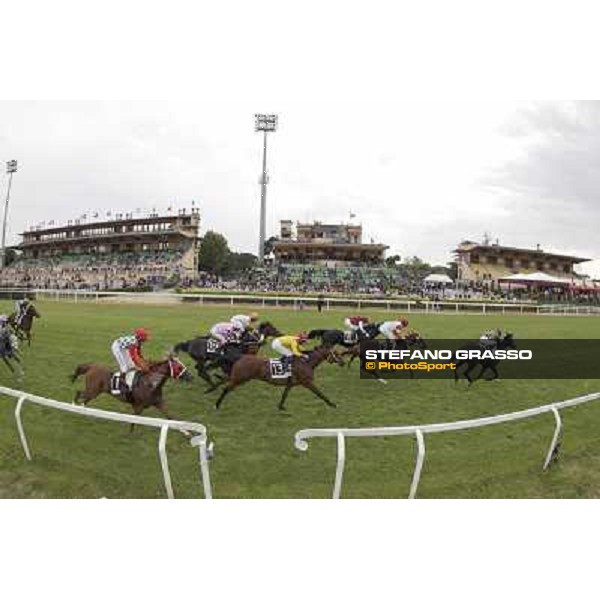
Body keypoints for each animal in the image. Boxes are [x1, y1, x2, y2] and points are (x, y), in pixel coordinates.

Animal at [212, 344, 344, 410]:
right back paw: (216, 404)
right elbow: (320, 394)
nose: (342, 363)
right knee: (226, 388)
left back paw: (211, 389)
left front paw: (280, 406)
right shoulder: (307, 382)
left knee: (224, 380)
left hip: (239, 377)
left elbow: (284, 394)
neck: (306, 362)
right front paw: (332, 404)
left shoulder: (290, 383)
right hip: (240, 378)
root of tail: (241, 357)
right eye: (337, 353)